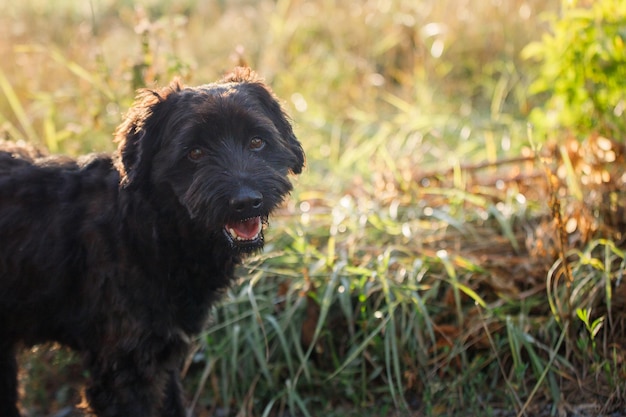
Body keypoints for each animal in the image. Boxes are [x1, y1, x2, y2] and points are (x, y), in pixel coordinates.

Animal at [0, 68, 304, 416]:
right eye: (194, 153)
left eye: (256, 141)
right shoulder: (124, 369)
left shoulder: (165, 351)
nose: (246, 202)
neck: (148, 229)